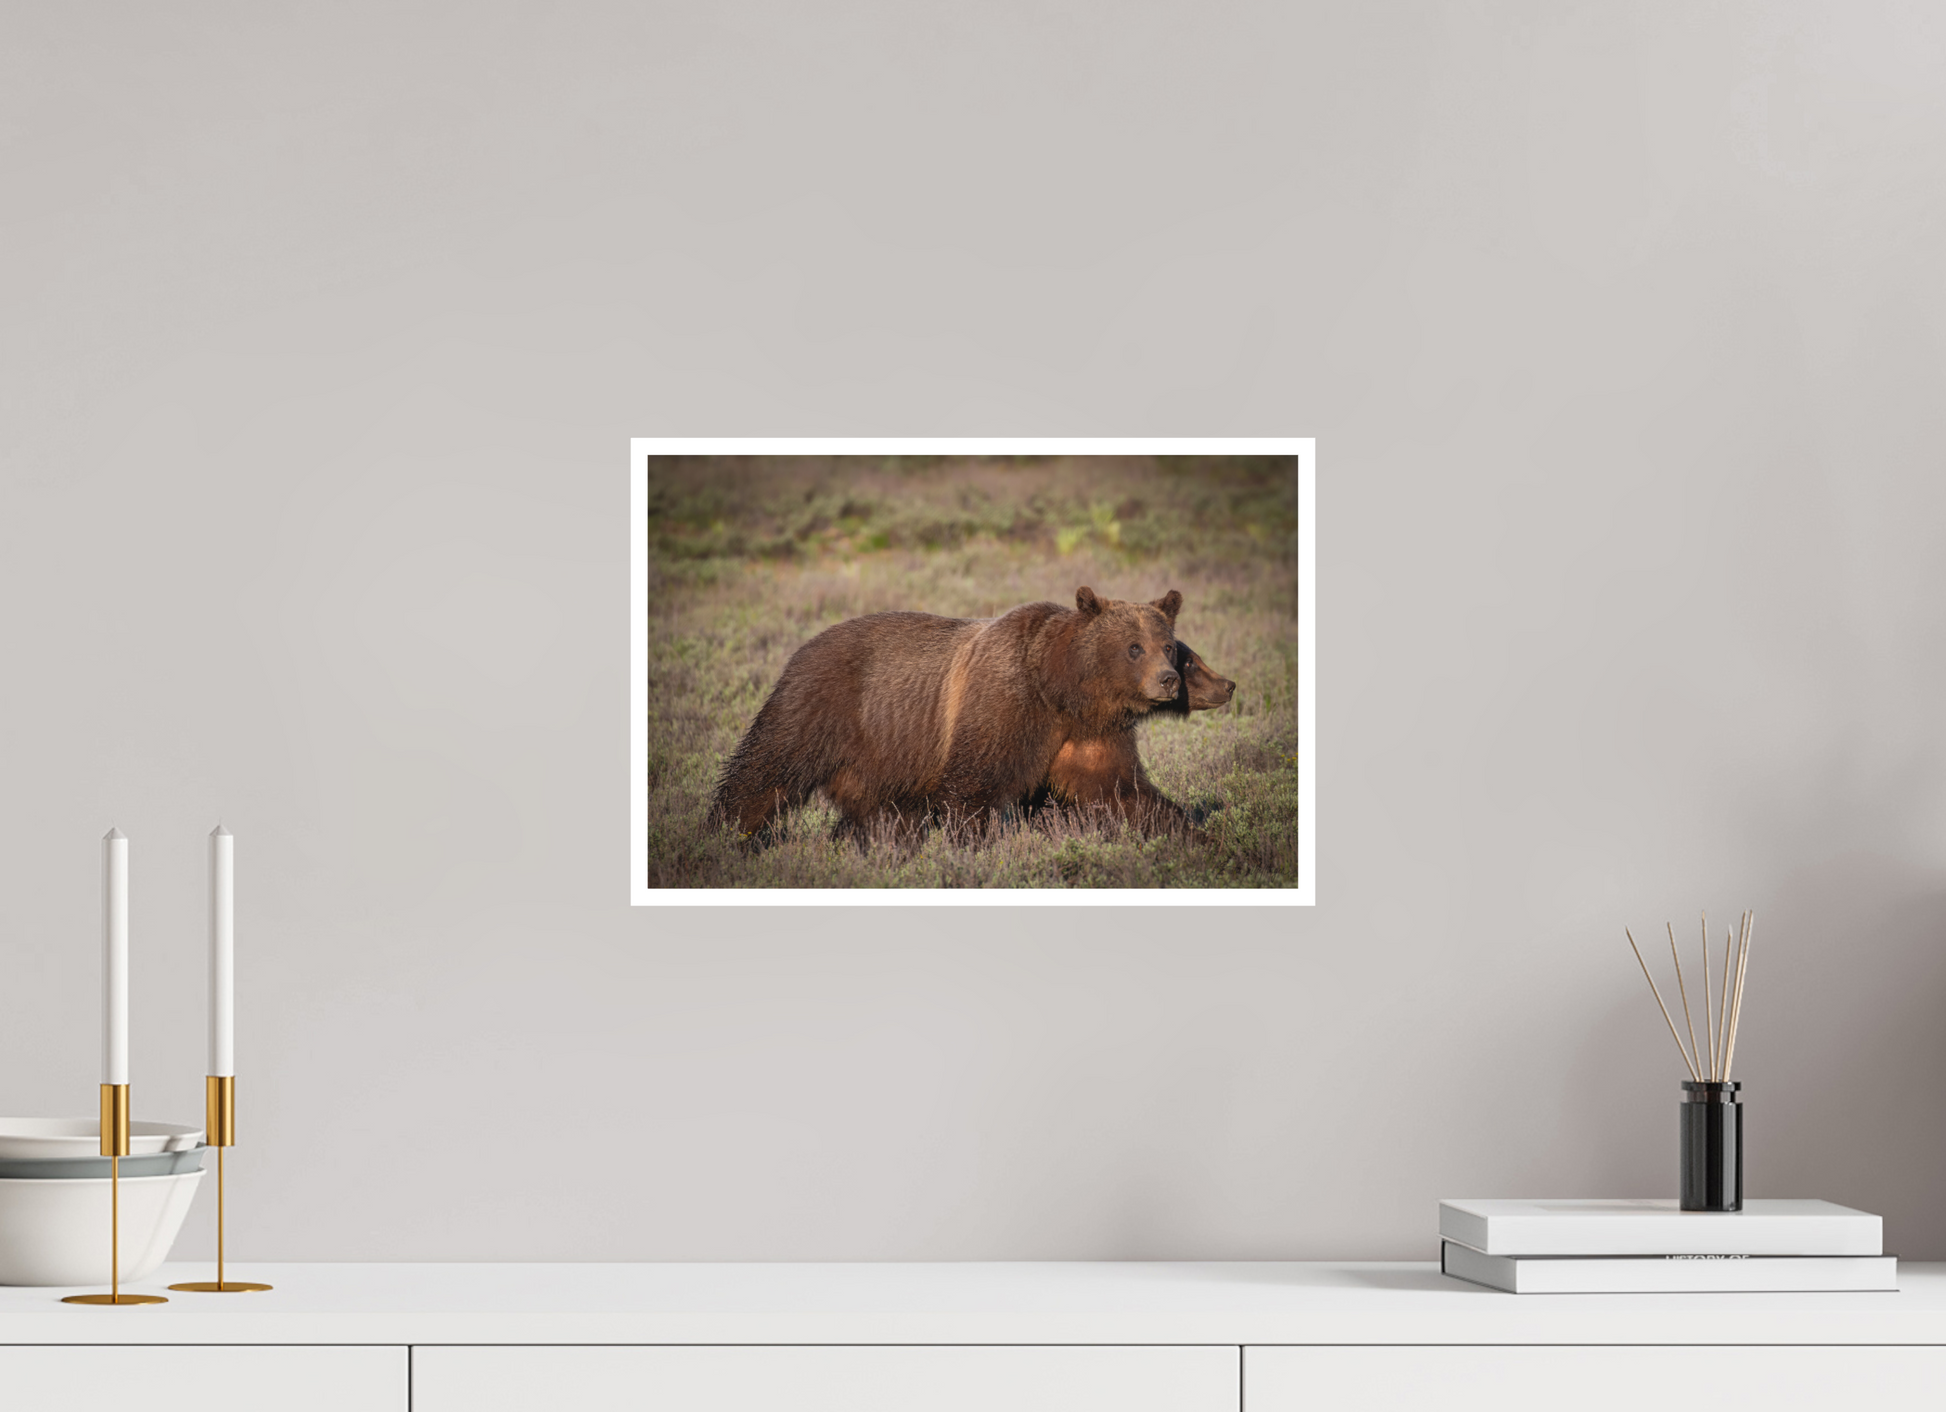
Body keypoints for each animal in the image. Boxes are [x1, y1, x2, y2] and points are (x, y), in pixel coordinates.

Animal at [710, 586, 1185, 842]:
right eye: (1134, 647)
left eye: (1168, 645)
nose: (1169, 680)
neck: (1062, 690)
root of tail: (802, 647)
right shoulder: (1004, 705)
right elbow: (972, 789)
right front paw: (976, 843)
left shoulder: (1089, 735)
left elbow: (1123, 792)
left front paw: (1184, 830)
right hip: (820, 706)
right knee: (765, 771)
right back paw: (727, 834)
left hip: (878, 759)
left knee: (881, 814)